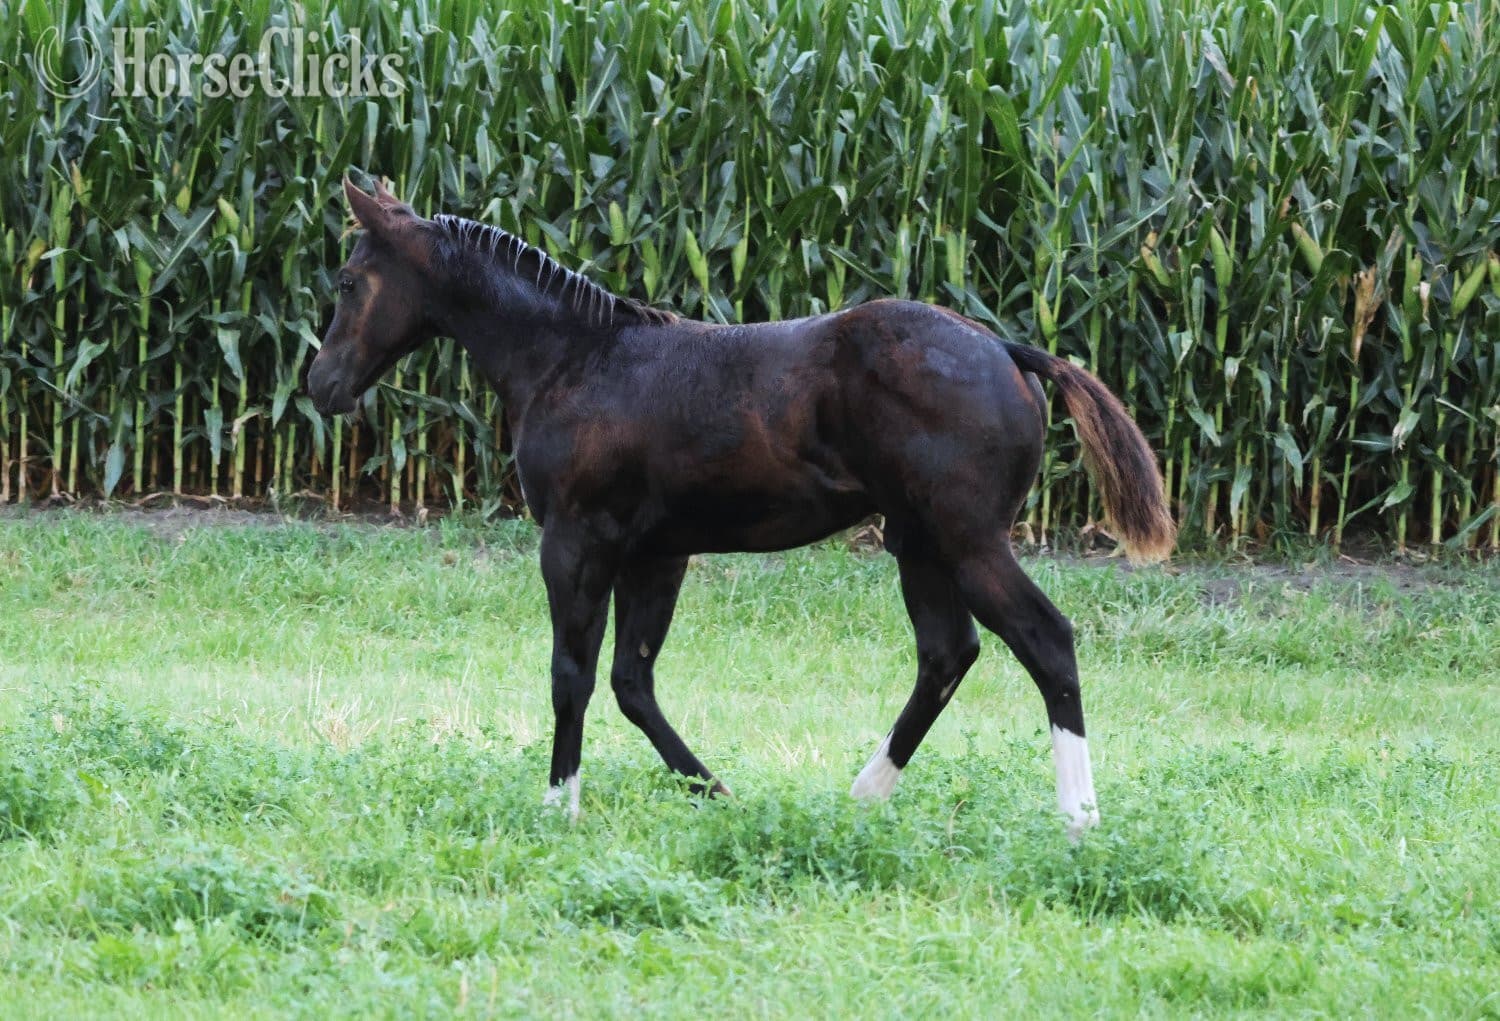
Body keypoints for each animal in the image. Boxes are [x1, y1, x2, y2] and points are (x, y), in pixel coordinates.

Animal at [308, 178, 1175, 840]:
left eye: (349, 280)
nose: (321, 385)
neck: (574, 359)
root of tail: (1008, 350)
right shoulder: (657, 553)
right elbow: (631, 681)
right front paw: (719, 792)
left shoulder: (576, 539)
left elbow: (571, 673)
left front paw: (560, 804)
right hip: (918, 542)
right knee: (947, 652)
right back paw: (861, 796)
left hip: (966, 538)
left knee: (1044, 639)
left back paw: (1080, 819)